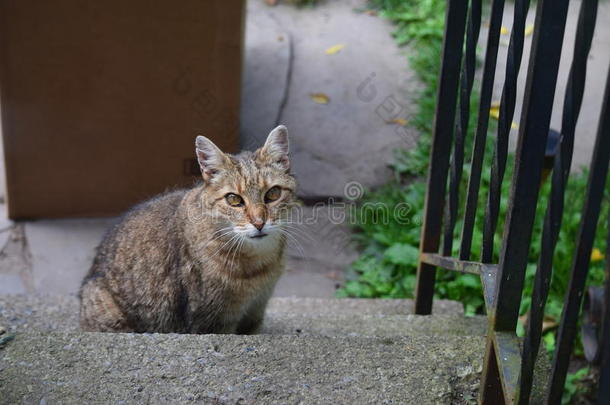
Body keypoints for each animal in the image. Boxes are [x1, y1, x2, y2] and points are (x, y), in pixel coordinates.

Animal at [78, 125, 296, 332]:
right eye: (233, 199)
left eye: (273, 194)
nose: (259, 223)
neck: (258, 264)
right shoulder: (211, 322)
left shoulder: (255, 313)